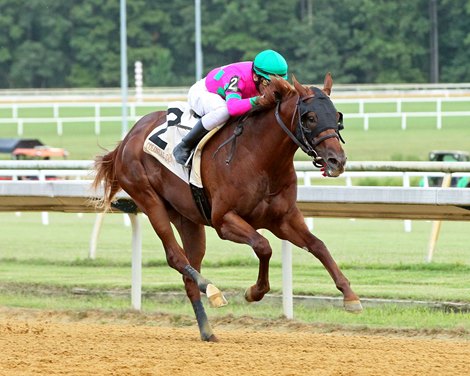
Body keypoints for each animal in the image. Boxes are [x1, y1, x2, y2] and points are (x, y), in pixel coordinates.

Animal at [92, 73, 364, 340]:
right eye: (310, 118)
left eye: (337, 116)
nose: (337, 160)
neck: (259, 158)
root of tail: (128, 138)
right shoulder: (224, 220)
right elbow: (263, 246)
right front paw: (255, 291)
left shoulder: (284, 218)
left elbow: (318, 246)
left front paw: (350, 296)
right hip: (149, 199)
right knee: (175, 257)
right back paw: (211, 289)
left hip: (186, 217)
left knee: (187, 271)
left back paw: (207, 330)